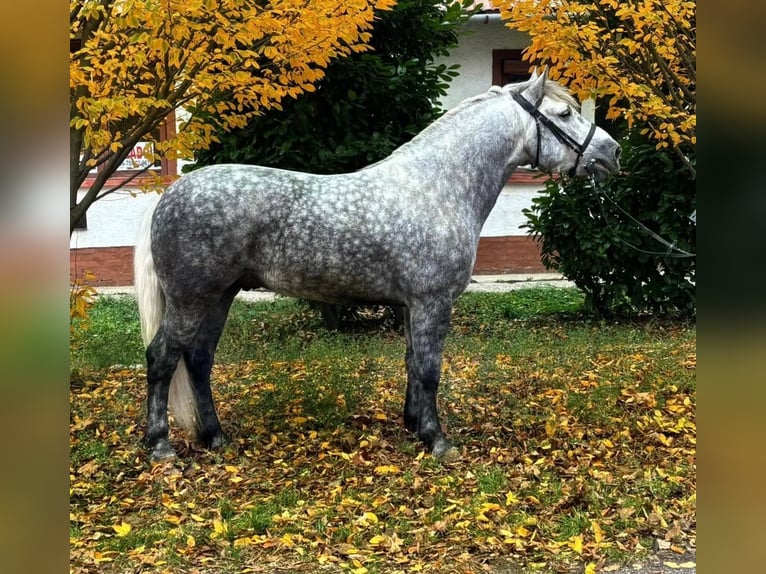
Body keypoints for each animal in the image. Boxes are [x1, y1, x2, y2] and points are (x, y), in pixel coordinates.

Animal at [134, 70, 621, 462]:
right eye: (562, 114)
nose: (612, 152)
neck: (436, 188)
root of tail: (170, 194)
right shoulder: (432, 302)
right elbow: (430, 369)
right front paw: (438, 441)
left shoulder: (410, 305)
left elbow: (413, 364)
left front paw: (415, 426)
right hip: (191, 299)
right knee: (162, 358)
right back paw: (160, 446)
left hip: (220, 297)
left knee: (198, 361)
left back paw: (215, 437)